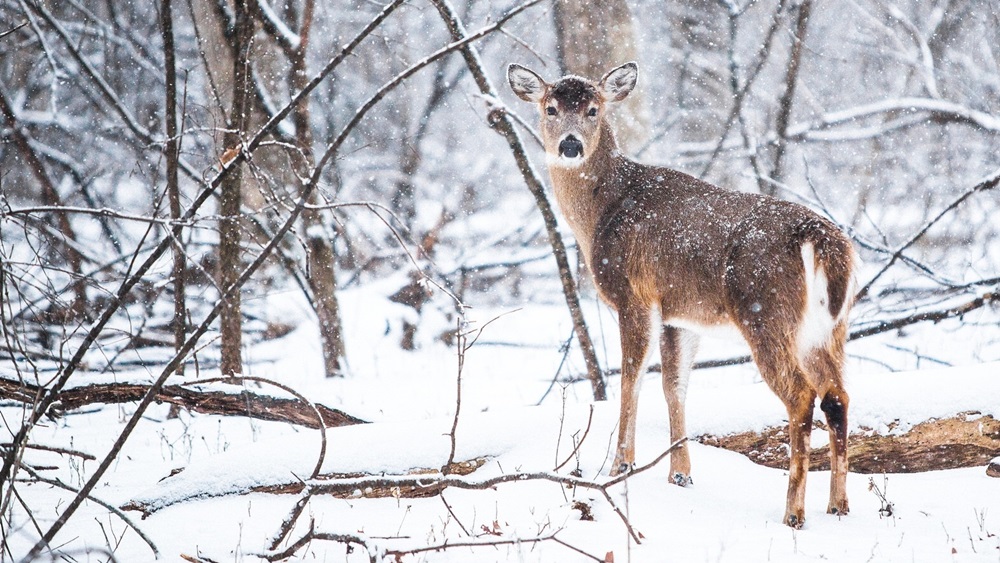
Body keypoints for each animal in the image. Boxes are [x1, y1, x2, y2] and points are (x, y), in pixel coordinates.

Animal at [512, 61, 856, 528]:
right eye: (550, 108)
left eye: (592, 109)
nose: (570, 145)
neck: (601, 213)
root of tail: (820, 240)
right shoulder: (680, 315)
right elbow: (674, 385)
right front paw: (680, 474)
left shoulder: (634, 295)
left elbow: (631, 380)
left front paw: (620, 466)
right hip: (829, 327)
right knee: (837, 396)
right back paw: (838, 506)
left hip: (765, 311)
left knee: (802, 396)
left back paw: (794, 513)